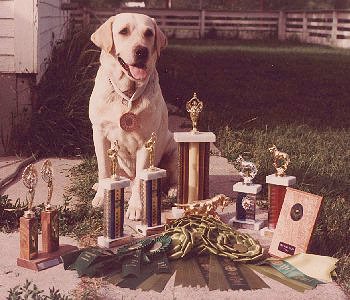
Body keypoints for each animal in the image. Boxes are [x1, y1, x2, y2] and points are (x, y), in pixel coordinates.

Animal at [89, 12, 178, 219]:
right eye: (123, 31)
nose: (141, 51)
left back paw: (173, 189)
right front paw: (100, 197)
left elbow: (140, 179)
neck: (127, 93)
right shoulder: (99, 134)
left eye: (149, 33)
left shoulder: (146, 142)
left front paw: (136, 207)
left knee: (171, 176)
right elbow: (104, 170)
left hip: (174, 147)